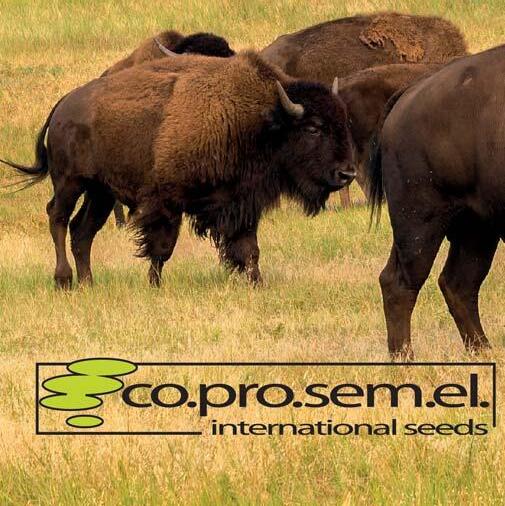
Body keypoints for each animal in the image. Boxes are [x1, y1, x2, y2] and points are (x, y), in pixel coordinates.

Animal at [2, 53, 354, 289]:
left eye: (343, 122)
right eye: (313, 128)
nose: (347, 174)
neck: (261, 121)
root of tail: (62, 106)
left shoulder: (241, 204)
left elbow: (249, 249)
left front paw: (257, 283)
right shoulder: (165, 202)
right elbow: (161, 247)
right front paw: (155, 284)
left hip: (100, 192)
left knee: (82, 230)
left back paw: (88, 283)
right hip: (70, 182)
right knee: (58, 218)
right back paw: (63, 280)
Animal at [368, 44, 505, 359]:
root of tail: (410, 92)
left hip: (477, 229)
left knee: (459, 284)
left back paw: (483, 351)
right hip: (419, 223)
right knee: (399, 283)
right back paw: (405, 358)